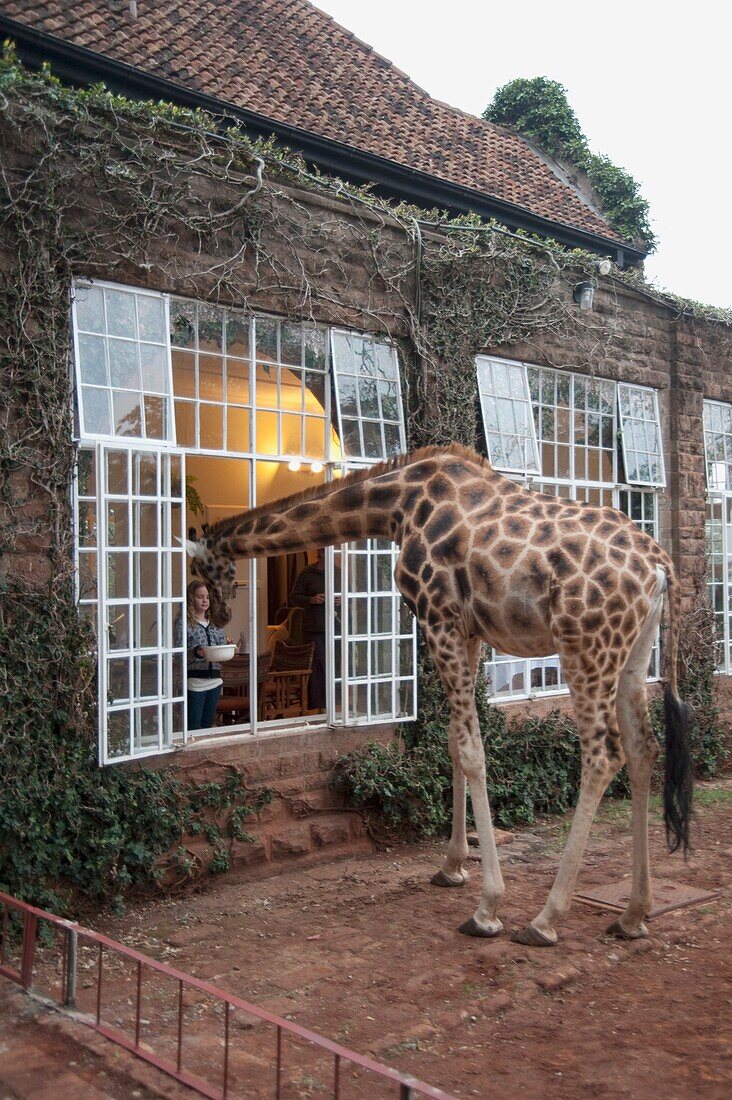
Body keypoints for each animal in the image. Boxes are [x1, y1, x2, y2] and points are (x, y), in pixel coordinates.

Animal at [187, 444, 691, 946]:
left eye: (201, 568)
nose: (221, 611)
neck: (397, 507)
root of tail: (660, 566)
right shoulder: (467, 631)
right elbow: (452, 741)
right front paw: (451, 866)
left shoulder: (438, 618)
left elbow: (471, 750)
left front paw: (487, 907)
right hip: (632, 653)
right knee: (644, 747)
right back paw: (633, 914)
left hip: (584, 646)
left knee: (603, 754)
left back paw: (545, 919)